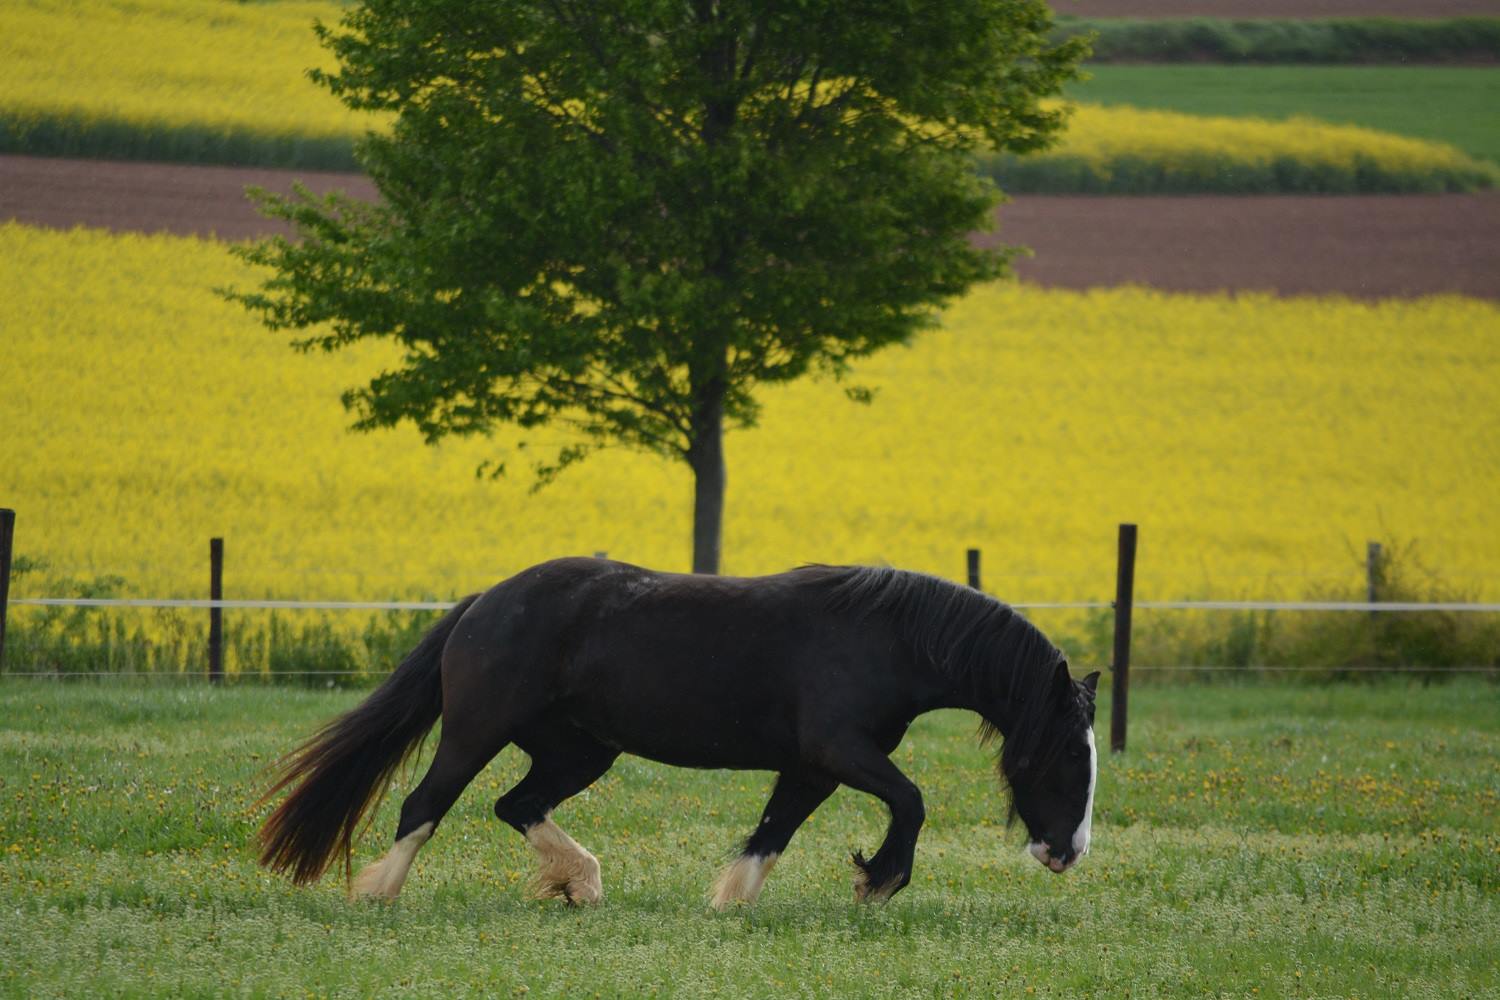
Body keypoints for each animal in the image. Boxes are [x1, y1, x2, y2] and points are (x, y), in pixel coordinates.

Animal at [258, 560, 1104, 911]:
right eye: (1069, 752)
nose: (1066, 853)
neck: (883, 636)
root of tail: (484, 601)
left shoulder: (813, 766)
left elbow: (771, 833)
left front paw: (729, 903)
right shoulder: (840, 751)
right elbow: (913, 800)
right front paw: (879, 880)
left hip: (580, 750)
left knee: (515, 806)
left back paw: (580, 884)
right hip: (477, 730)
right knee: (424, 806)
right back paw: (378, 894)